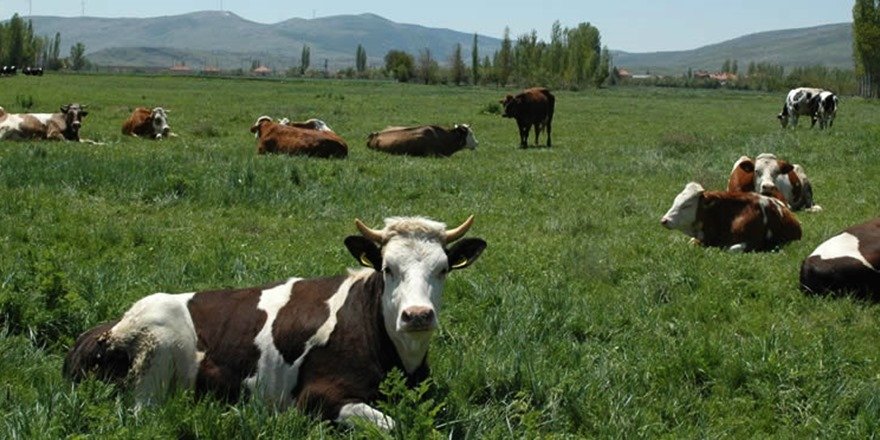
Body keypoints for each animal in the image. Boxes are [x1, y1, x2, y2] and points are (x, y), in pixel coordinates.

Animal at [62, 217, 488, 430]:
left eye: (443, 269)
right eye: (388, 268)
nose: (417, 315)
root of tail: (107, 327)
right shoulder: (316, 396)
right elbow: (391, 425)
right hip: (155, 358)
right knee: (142, 416)